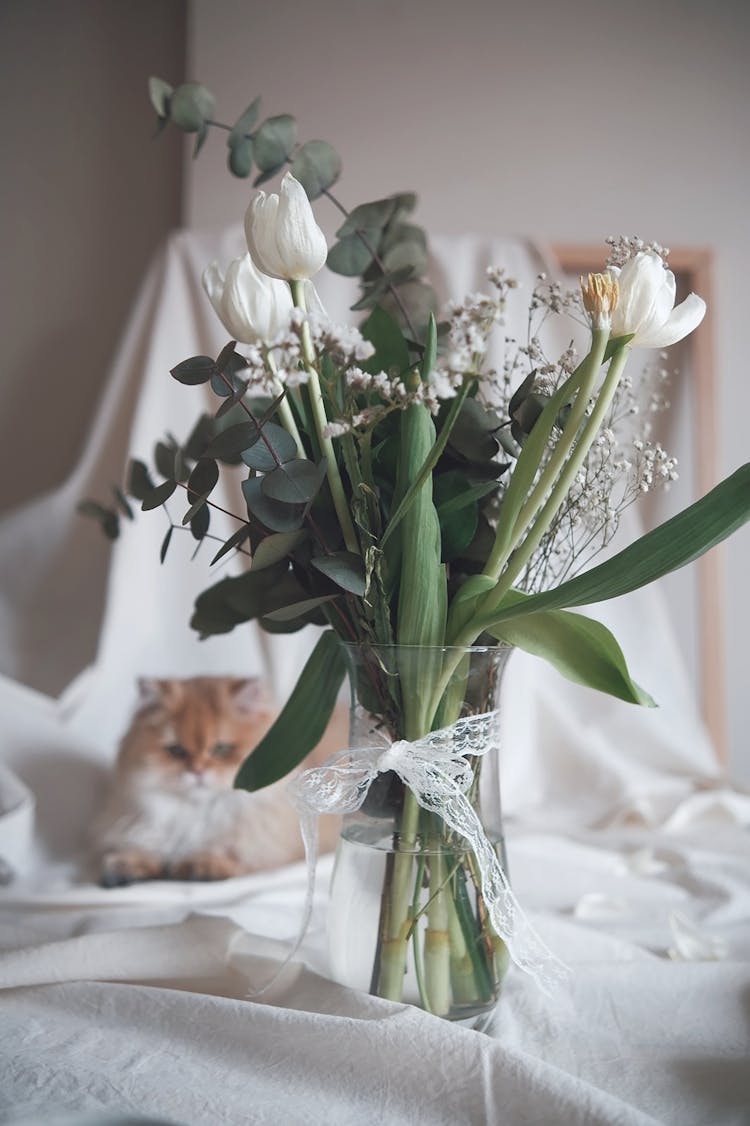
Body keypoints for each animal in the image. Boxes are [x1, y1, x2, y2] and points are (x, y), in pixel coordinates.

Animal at [93, 675, 342, 887]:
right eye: (176, 751)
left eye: (221, 749)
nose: (197, 771)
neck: (195, 814)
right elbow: (141, 849)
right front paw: (127, 867)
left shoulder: (266, 847)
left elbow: (229, 853)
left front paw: (201, 866)